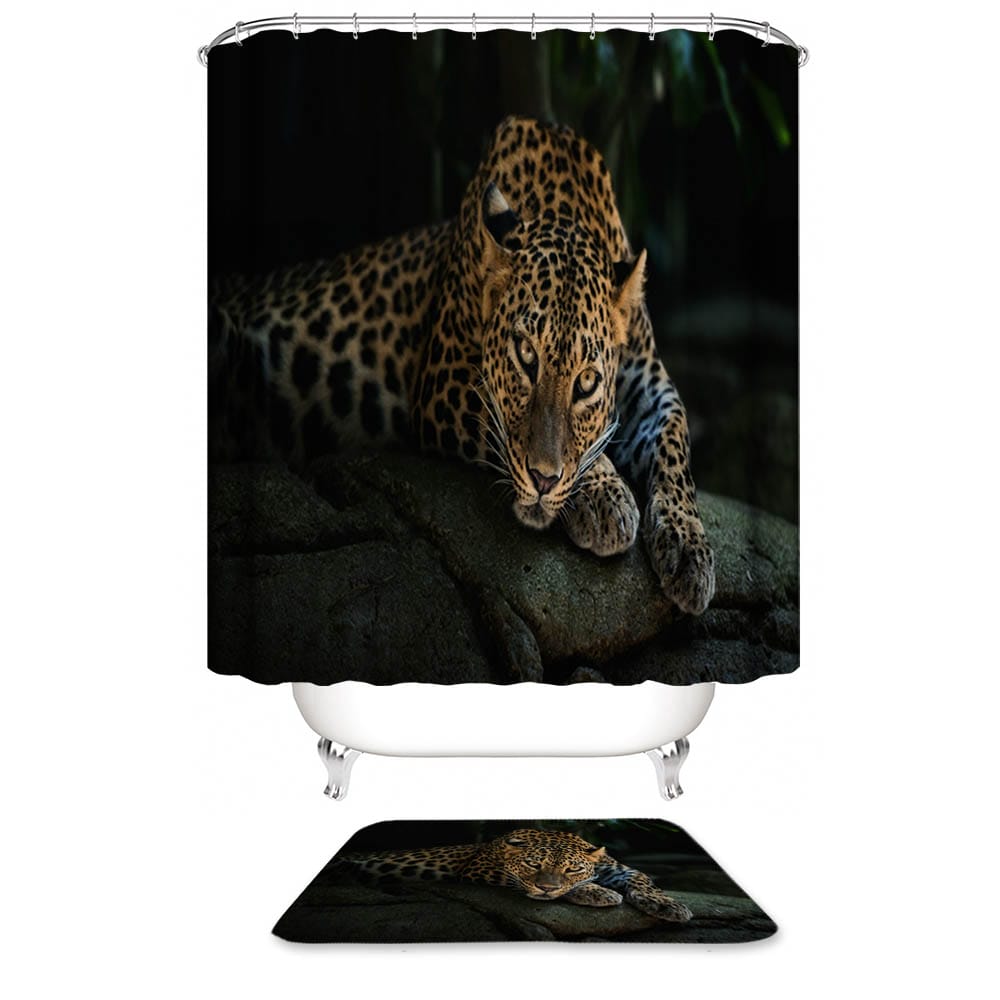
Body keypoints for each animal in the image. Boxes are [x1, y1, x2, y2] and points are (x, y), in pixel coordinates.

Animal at [210, 115, 715, 614]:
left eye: (587, 381)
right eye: (525, 356)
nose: (543, 480)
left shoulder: (649, 382)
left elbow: (675, 440)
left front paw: (690, 547)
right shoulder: (444, 383)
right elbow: (511, 430)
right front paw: (605, 493)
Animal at [337, 828, 693, 922]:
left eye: (572, 867)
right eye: (533, 865)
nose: (547, 889)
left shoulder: (617, 867)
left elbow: (642, 879)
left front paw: (669, 906)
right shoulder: (478, 868)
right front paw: (596, 892)